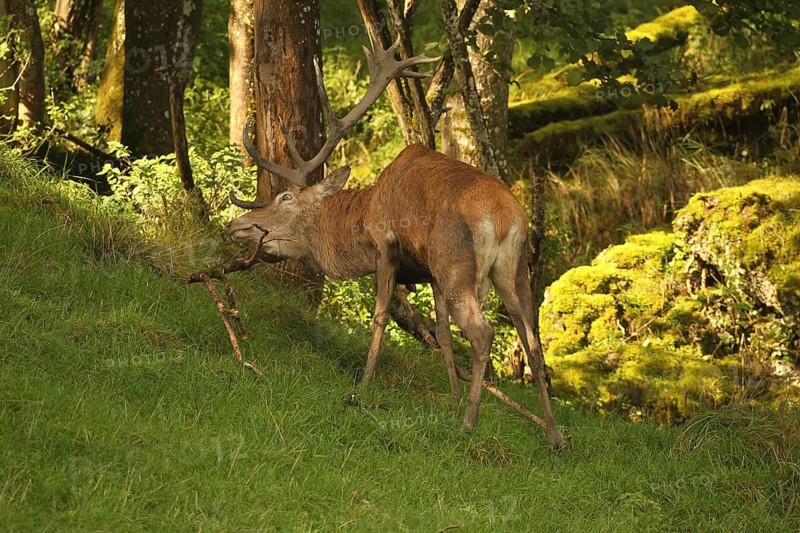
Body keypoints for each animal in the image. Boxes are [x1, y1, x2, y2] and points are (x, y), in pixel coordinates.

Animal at [225, 36, 568, 450]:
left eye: (285, 198)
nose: (236, 225)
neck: (362, 217)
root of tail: (505, 216)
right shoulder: (430, 273)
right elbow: (441, 333)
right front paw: (453, 398)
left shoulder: (386, 247)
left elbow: (380, 315)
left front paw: (366, 382)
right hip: (512, 271)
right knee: (532, 339)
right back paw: (554, 434)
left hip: (457, 264)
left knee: (483, 332)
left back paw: (470, 423)